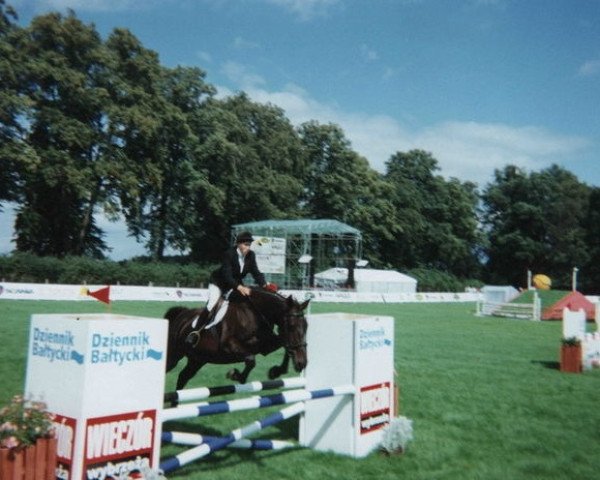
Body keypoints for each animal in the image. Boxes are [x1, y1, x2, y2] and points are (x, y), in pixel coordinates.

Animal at [164, 286, 310, 392]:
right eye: (291, 326)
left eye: (306, 325)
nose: (302, 363)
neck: (254, 315)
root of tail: (181, 314)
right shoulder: (229, 346)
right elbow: (251, 360)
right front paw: (235, 375)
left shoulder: (266, 347)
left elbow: (286, 346)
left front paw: (276, 371)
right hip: (174, 355)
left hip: (197, 360)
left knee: (183, 377)